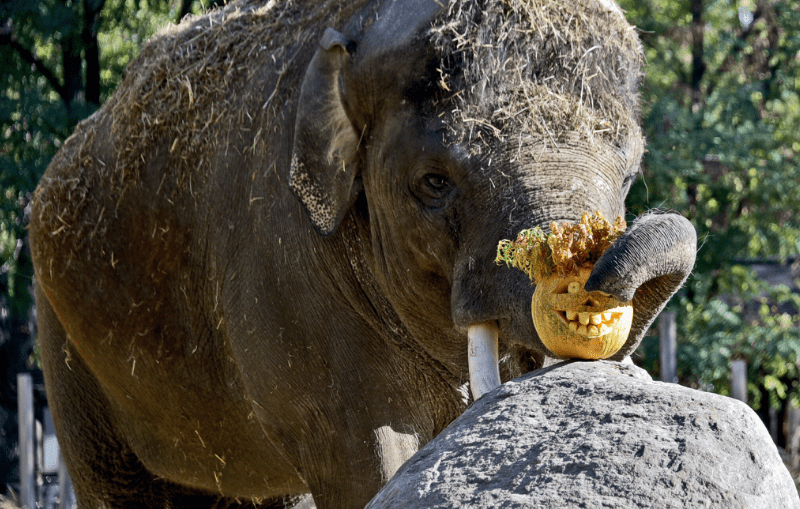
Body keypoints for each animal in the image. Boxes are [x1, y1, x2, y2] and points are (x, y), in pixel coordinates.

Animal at [29, 0, 692, 506]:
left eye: (630, 175)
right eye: (433, 182)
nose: (589, 282)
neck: (360, 25)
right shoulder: (284, 269)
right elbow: (366, 459)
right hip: (66, 346)